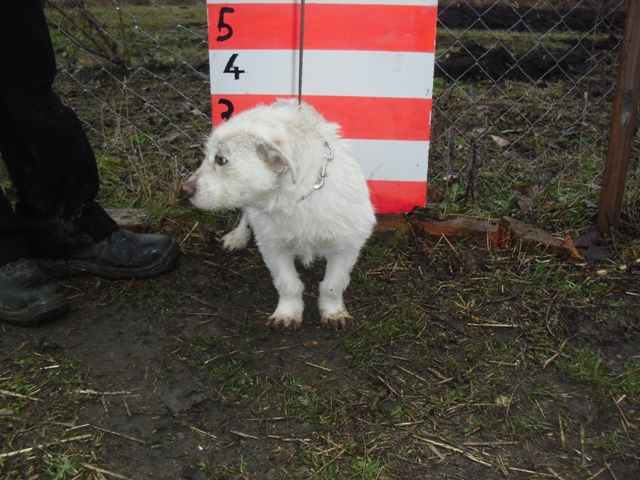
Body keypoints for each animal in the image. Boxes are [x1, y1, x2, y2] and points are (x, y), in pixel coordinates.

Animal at [182, 99, 376, 330]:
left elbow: (333, 284)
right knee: (246, 215)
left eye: (221, 160)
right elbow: (287, 283)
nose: (185, 190)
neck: (294, 201)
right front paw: (288, 313)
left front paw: (333, 312)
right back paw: (238, 236)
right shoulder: (272, 248)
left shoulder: (347, 246)